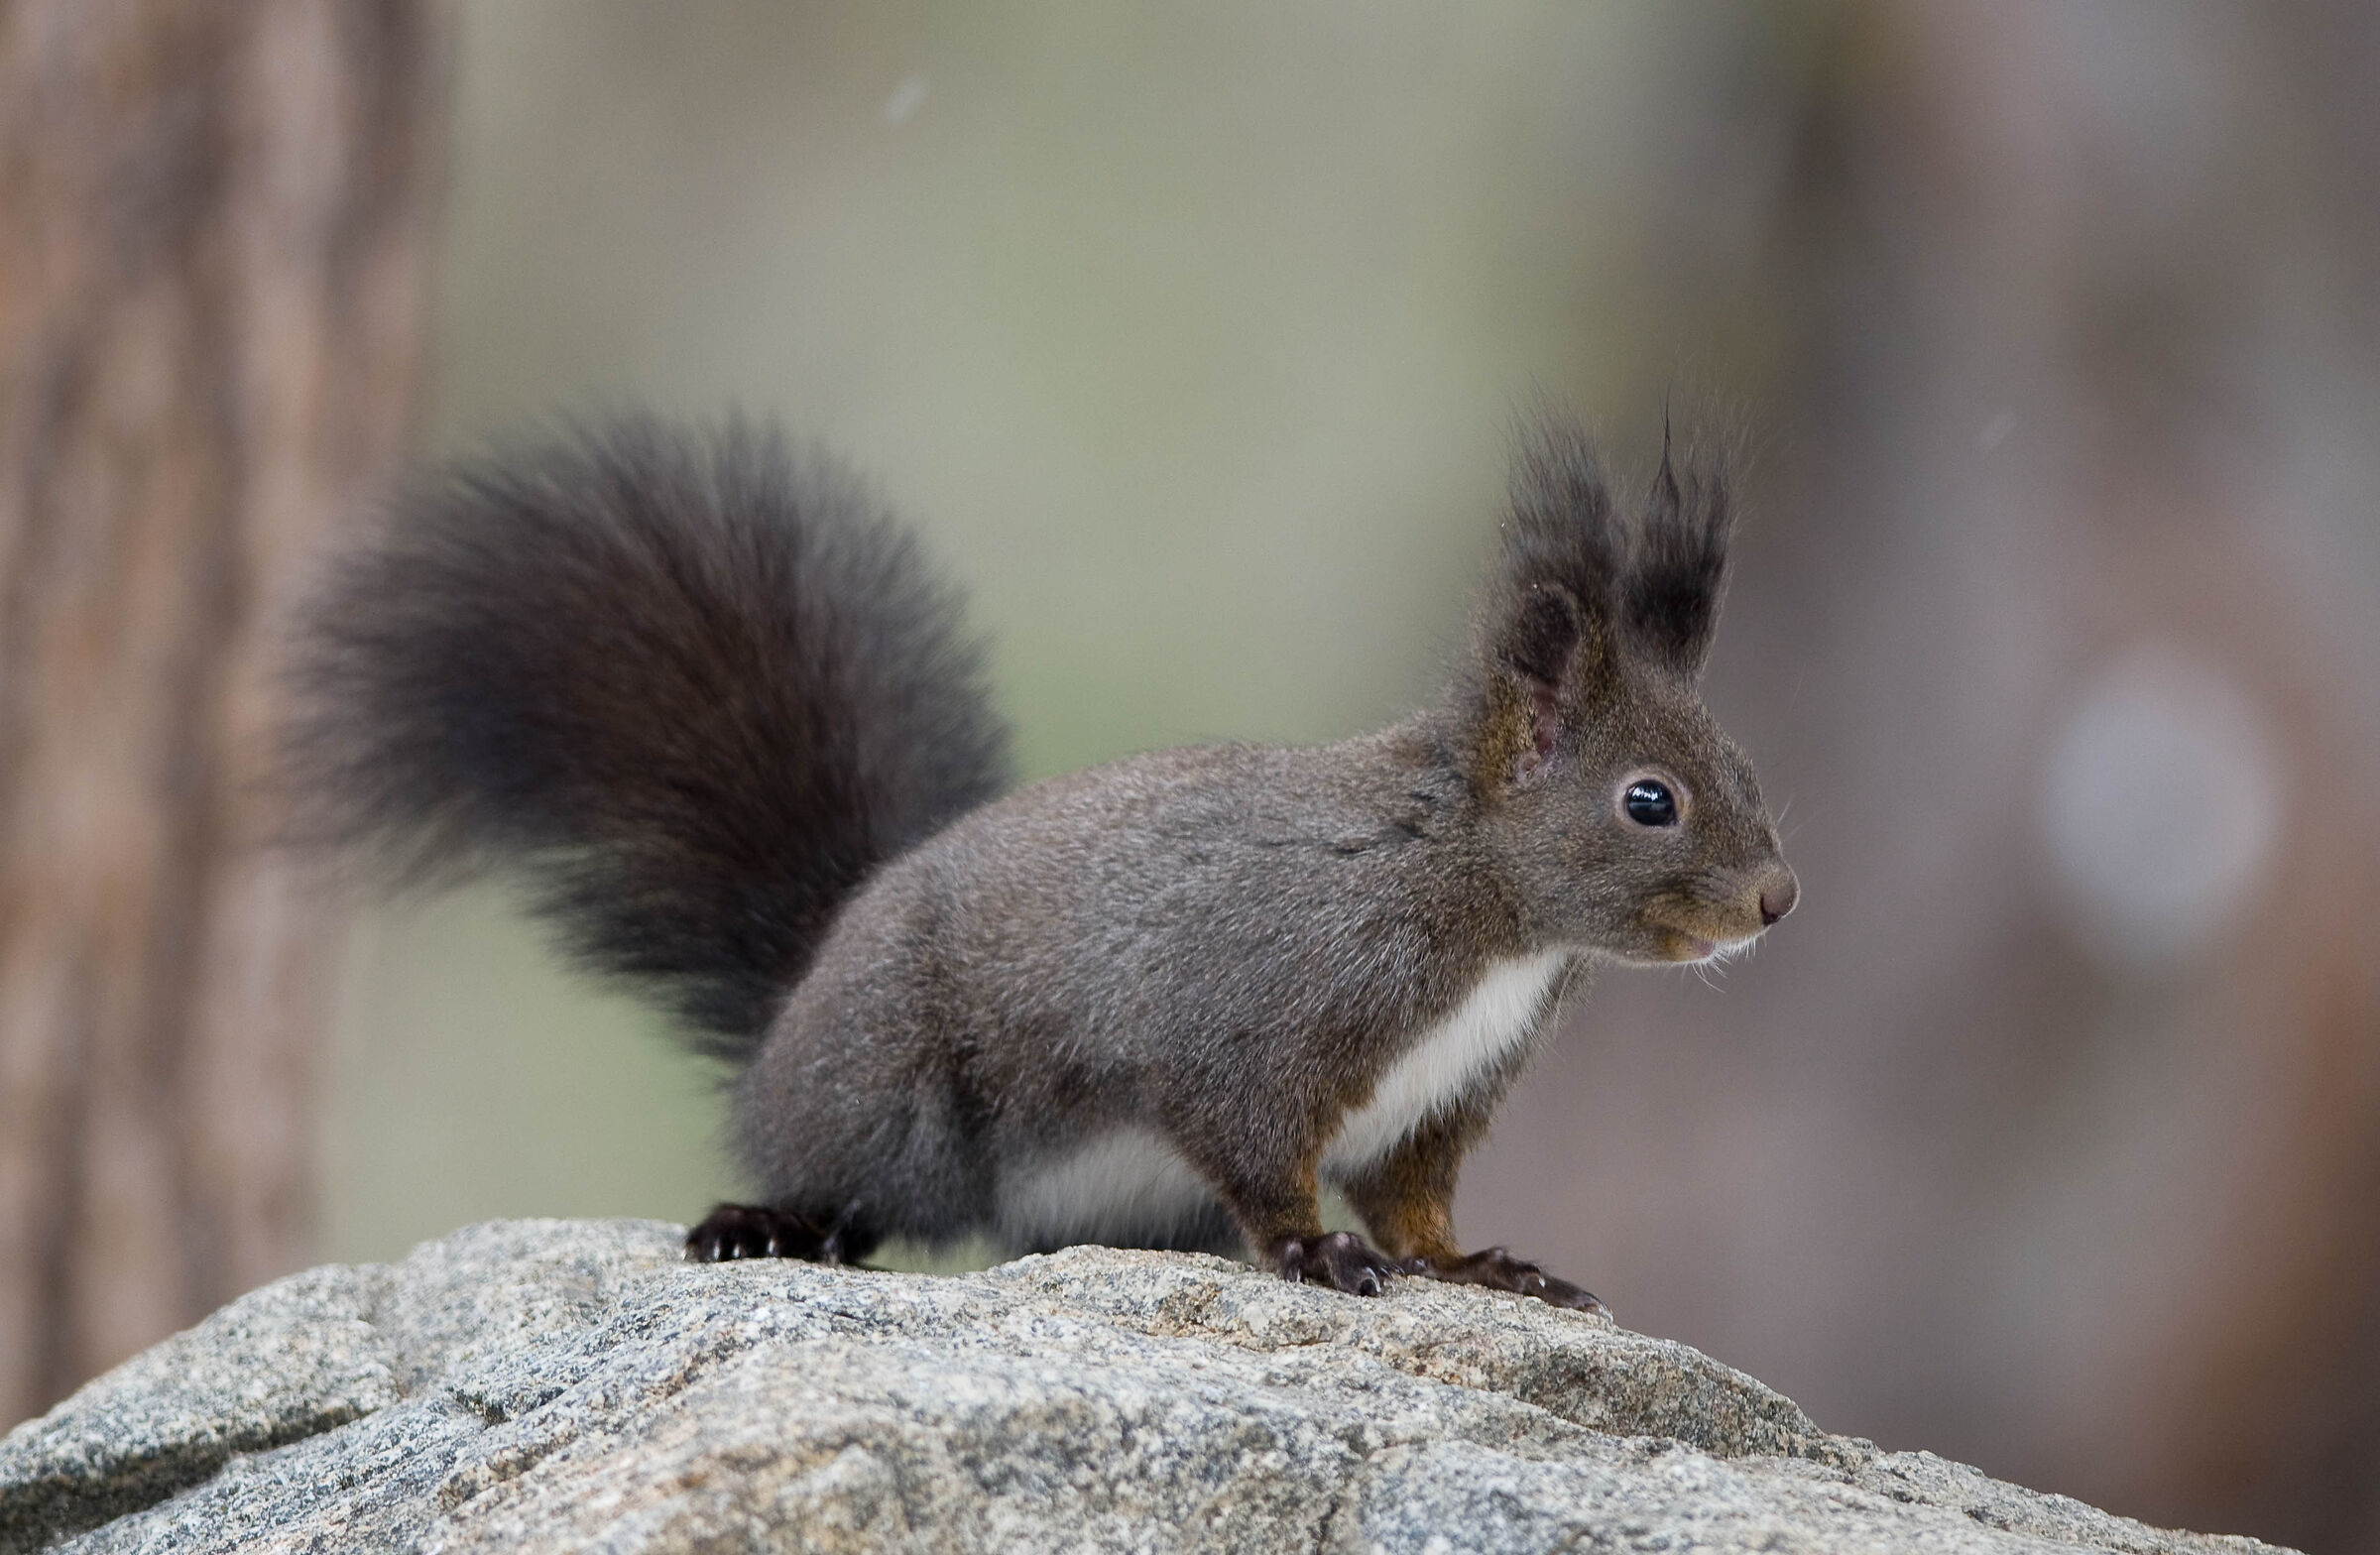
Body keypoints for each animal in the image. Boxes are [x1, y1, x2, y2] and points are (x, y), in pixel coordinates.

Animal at [285, 410, 1795, 1312]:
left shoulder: (1443, 1098)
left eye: (1745, 764)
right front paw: (1313, 1250)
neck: (1490, 916)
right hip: (893, 1088)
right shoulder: (1264, 1014)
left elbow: (1416, 1202)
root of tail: (795, 1003)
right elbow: (1255, 1146)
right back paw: (772, 1222)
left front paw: (1485, 1266)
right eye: (1649, 801)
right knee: (847, 1176)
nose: (1779, 901)